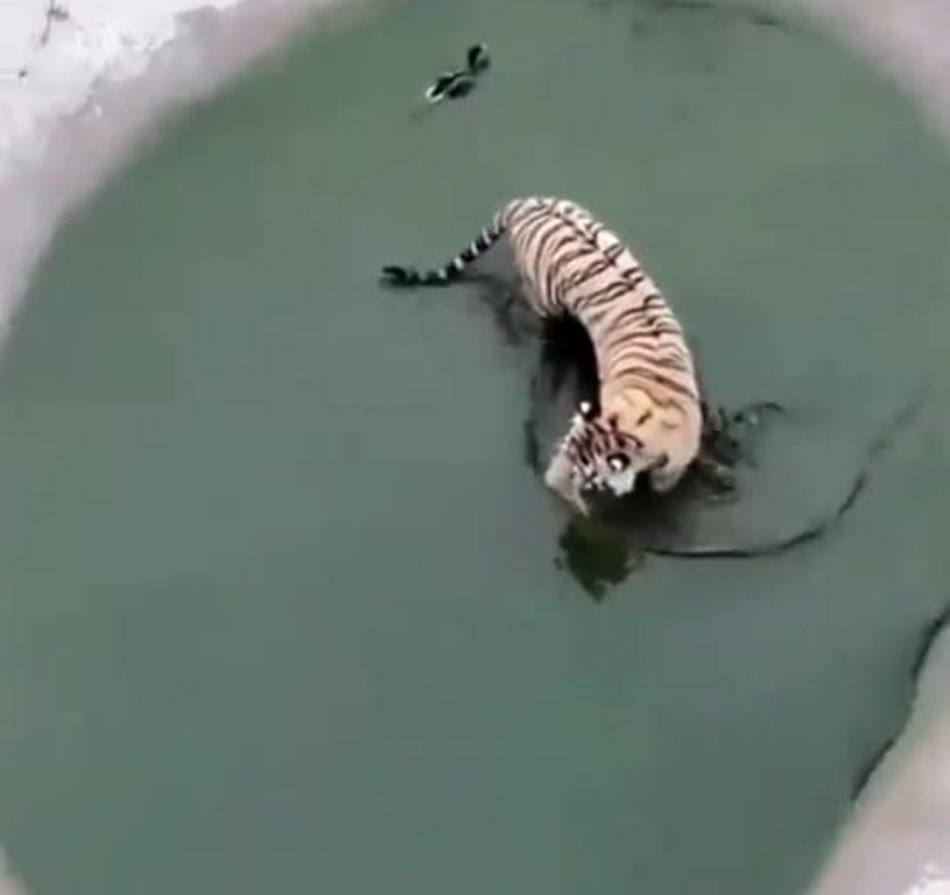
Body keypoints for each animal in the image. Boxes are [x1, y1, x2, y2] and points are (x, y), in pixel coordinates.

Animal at [380, 196, 704, 515]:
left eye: (585, 473)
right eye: (566, 451)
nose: (549, 484)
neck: (642, 420)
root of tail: (522, 202)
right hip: (545, 298)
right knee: (518, 303)